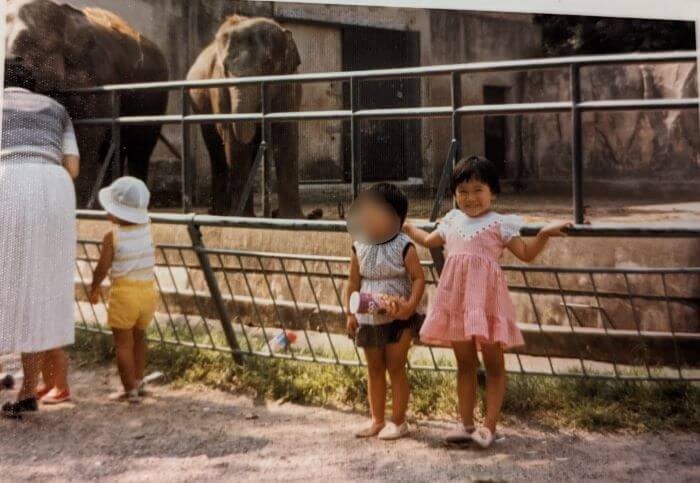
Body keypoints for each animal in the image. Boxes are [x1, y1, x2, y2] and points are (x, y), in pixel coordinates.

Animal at [187, 15, 310, 218]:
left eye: (267, 65)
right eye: (225, 68)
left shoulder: (290, 85)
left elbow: (286, 134)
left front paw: (292, 218)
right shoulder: (219, 89)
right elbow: (233, 140)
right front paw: (243, 217)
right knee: (216, 150)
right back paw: (221, 212)